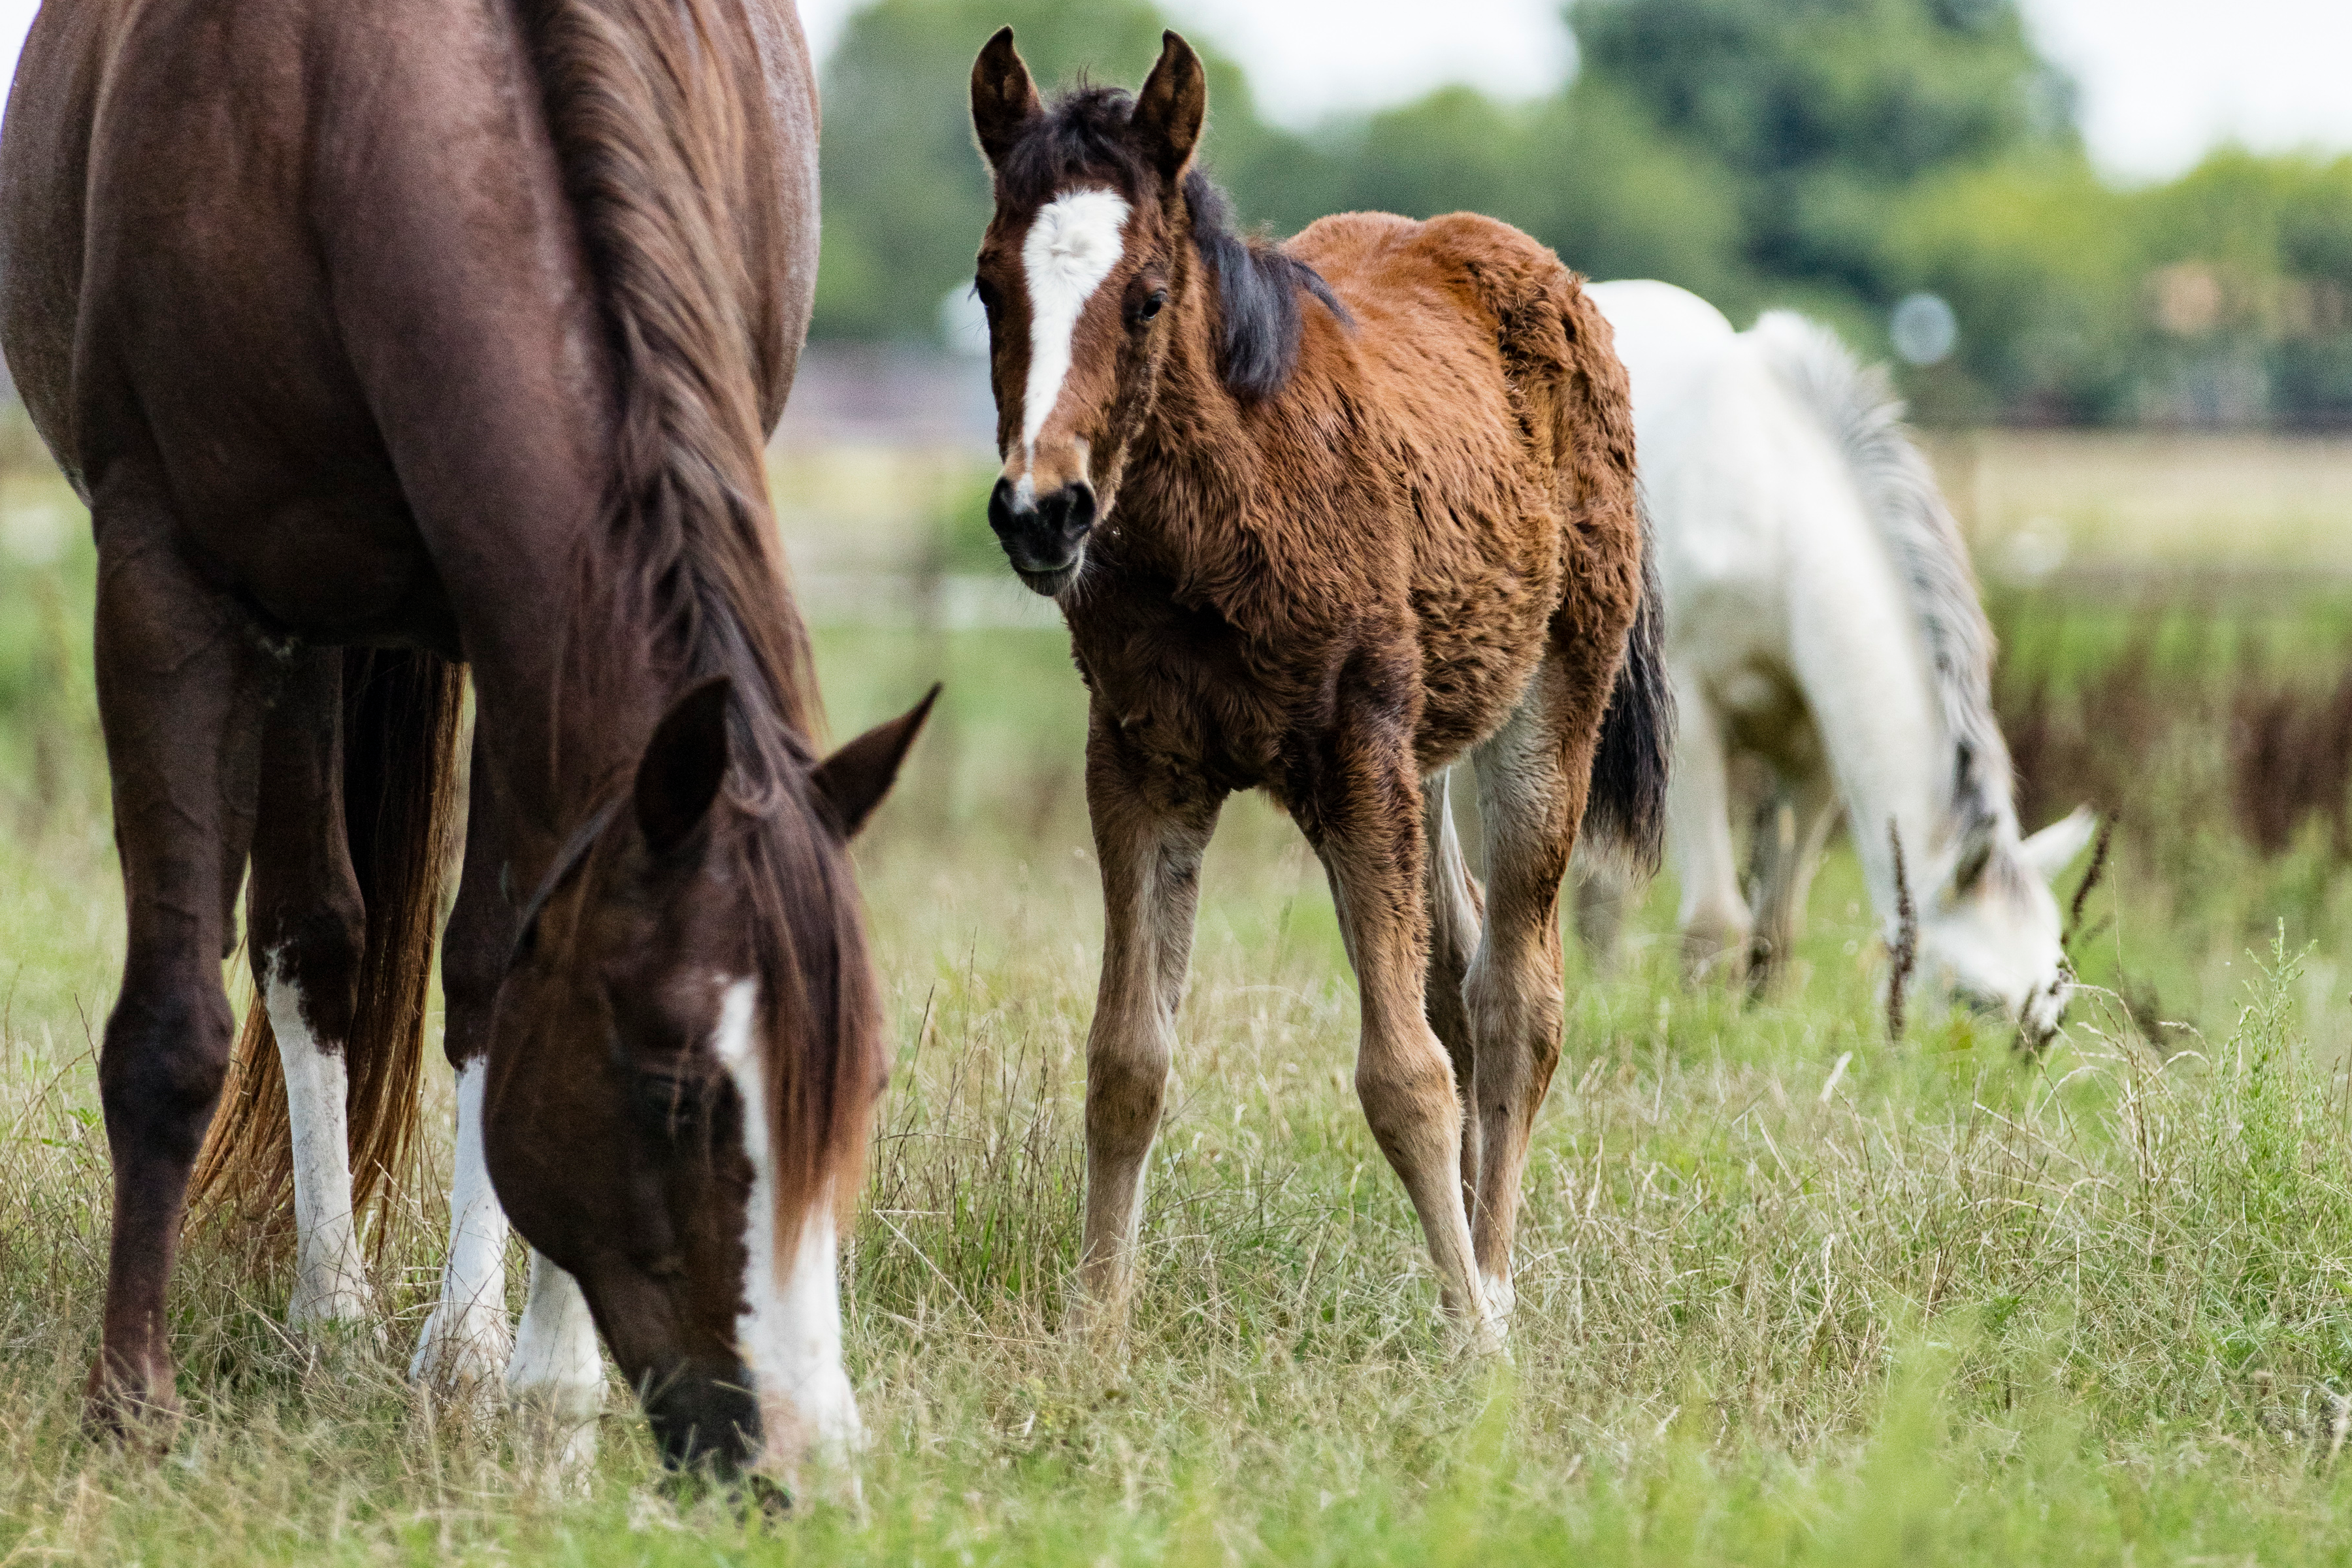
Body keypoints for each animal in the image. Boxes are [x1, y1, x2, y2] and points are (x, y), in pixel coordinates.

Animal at [1, 0, 932, 1486]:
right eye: (671, 1091)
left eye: (862, 1084)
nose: (802, 1454)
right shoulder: (168, 585)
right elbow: (173, 1026)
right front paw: (129, 1408)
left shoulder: (519, 627)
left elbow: (501, 966)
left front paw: (525, 1385)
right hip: (306, 626)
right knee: (311, 937)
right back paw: (328, 1314)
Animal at [965, 30, 1671, 1340]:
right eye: (990, 287)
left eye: (1147, 296)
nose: (1043, 512)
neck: (1220, 518)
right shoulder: (1140, 764)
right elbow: (1127, 1058)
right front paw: (1093, 1333)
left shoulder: (1352, 752)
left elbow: (1402, 1072)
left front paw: (1478, 1350)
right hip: (1427, 752)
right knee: (1459, 971)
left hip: (1548, 702)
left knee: (1515, 999)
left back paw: (1495, 1284)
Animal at [1574, 281, 2095, 1044]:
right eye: (1973, 998)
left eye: (2053, 1016)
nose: (1979, 1078)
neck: (1774, 518)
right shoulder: (1692, 721)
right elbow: (1714, 926)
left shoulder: (1815, 749)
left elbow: (1776, 928)